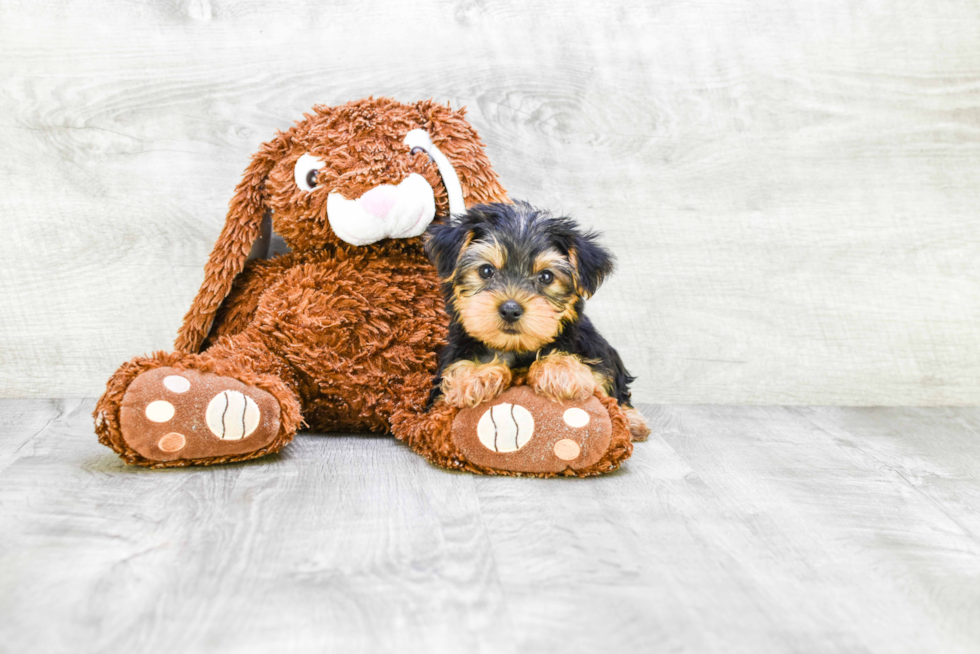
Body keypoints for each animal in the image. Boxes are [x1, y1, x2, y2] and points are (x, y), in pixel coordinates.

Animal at [426, 202, 652, 444]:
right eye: (486, 270)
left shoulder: (594, 352)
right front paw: (476, 376)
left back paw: (633, 422)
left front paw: (560, 370)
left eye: (546, 277)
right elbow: (455, 372)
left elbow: (597, 376)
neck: (515, 348)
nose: (510, 310)